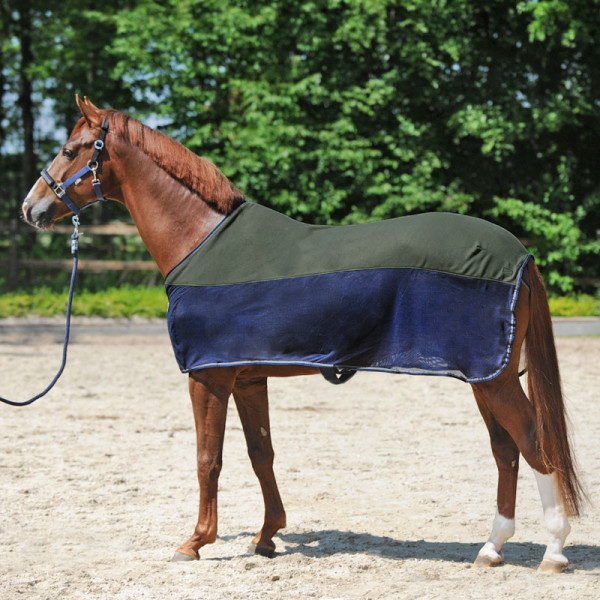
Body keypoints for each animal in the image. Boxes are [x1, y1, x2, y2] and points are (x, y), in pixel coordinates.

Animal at [21, 95, 584, 572]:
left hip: (495, 379)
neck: (200, 239)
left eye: (70, 150)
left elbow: (208, 459)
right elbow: (261, 454)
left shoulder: (208, 378)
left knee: (533, 444)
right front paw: (267, 535)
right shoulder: (248, 379)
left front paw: (195, 542)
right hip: (486, 377)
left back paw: (554, 550)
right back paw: (491, 549)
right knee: (505, 450)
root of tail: (520, 255)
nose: (30, 208)